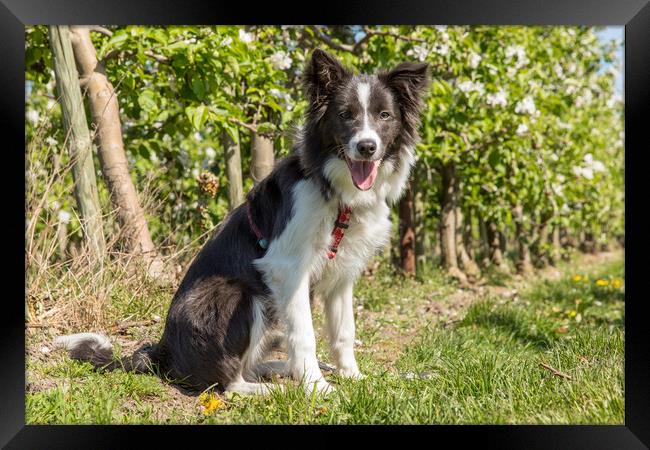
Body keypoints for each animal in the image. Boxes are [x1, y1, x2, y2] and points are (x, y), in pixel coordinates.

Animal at [55, 47, 428, 396]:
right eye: (345, 115)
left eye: (384, 116)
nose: (366, 147)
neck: (336, 192)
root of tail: (163, 351)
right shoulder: (287, 267)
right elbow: (304, 334)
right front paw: (316, 389)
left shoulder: (341, 274)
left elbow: (344, 331)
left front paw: (354, 378)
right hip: (240, 294)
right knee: (226, 381)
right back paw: (269, 388)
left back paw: (279, 369)